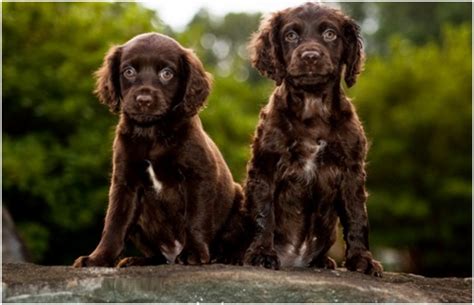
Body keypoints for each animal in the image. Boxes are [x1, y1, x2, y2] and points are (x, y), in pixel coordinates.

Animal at [74, 32, 244, 266]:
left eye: (167, 73)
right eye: (129, 71)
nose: (144, 100)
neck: (152, 133)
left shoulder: (199, 175)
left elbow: (196, 217)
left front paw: (193, 253)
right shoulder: (125, 182)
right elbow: (115, 223)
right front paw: (98, 258)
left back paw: (226, 257)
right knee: (158, 255)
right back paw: (137, 261)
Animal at [243, 2, 384, 276]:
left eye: (330, 34)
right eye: (290, 35)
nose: (310, 56)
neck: (313, 106)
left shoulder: (352, 170)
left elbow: (357, 215)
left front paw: (362, 260)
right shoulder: (265, 165)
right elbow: (263, 213)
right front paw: (262, 253)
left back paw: (323, 261)